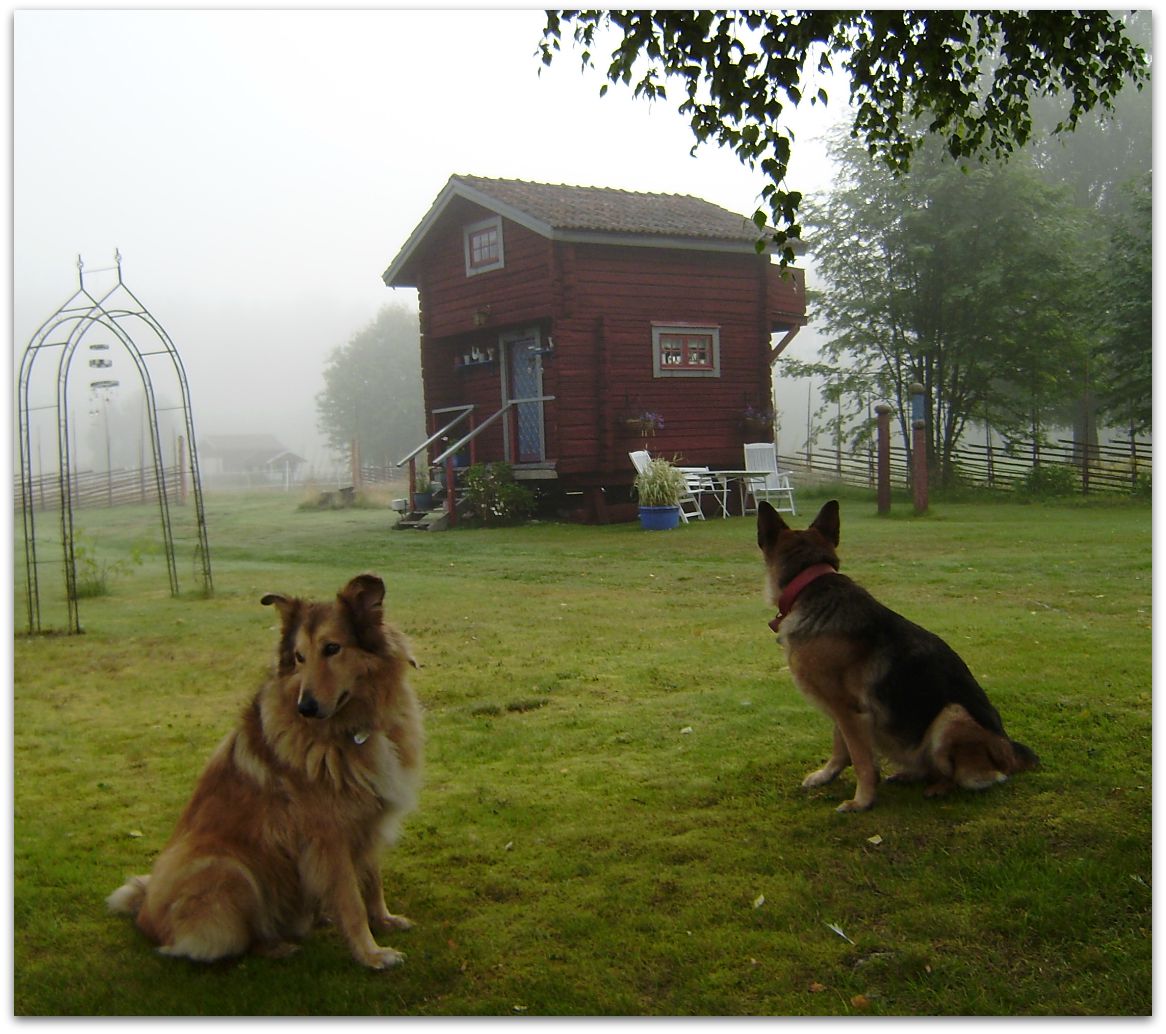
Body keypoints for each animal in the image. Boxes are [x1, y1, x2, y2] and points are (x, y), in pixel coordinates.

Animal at [107, 573, 423, 969]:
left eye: (332, 648)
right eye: (300, 657)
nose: (305, 707)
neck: (351, 729)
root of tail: (144, 913)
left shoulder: (367, 824)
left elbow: (371, 881)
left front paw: (384, 920)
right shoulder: (328, 837)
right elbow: (351, 901)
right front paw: (371, 954)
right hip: (232, 871)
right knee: (232, 939)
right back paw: (276, 945)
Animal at [757, 500, 1037, 812]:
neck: (810, 584)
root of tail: (1010, 752)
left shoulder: (849, 711)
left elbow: (862, 760)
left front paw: (862, 802)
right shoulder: (840, 710)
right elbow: (840, 747)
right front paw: (827, 775)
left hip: (952, 716)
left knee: (964, 775)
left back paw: (939, 787)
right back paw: (909, 775)